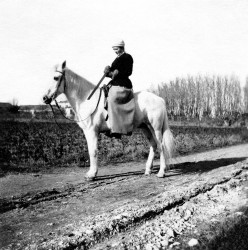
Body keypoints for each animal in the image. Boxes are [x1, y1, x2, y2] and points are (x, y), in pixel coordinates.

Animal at [42, 61, 174, 179]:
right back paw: (147, 170)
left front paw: (92, 174)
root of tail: (160, 99)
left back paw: (161, 172)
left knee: (161, 145)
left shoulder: (92, 131)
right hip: (145, 127)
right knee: (153, 145)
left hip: (156, 127)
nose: (44, 98)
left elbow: (93, 151)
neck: (87, 99)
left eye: (56, 78)